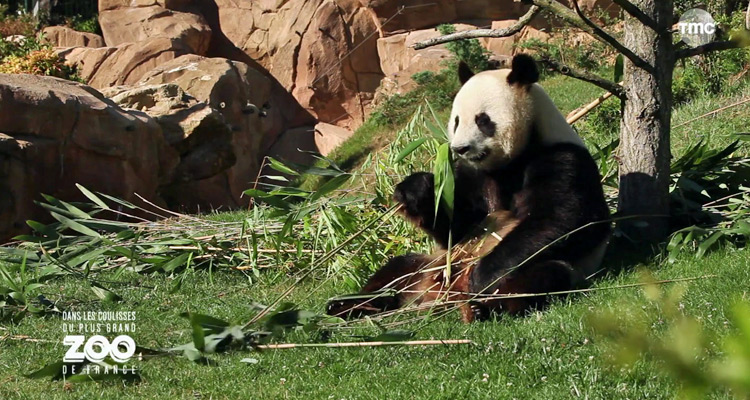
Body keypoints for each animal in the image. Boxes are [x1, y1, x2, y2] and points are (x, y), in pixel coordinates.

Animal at [328, 54, 612, 322]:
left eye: (482, 120)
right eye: (456, 121)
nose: (460, 148)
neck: (511, 161)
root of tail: (444, 296)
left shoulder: (562, 159)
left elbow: (566, 221)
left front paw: (483, 275)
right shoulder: (472, 174)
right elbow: (456, 226)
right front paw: (415, 190)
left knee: (545, 274)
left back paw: (484, 305)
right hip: (430, 265)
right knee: (396, 270)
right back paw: (348, 305)